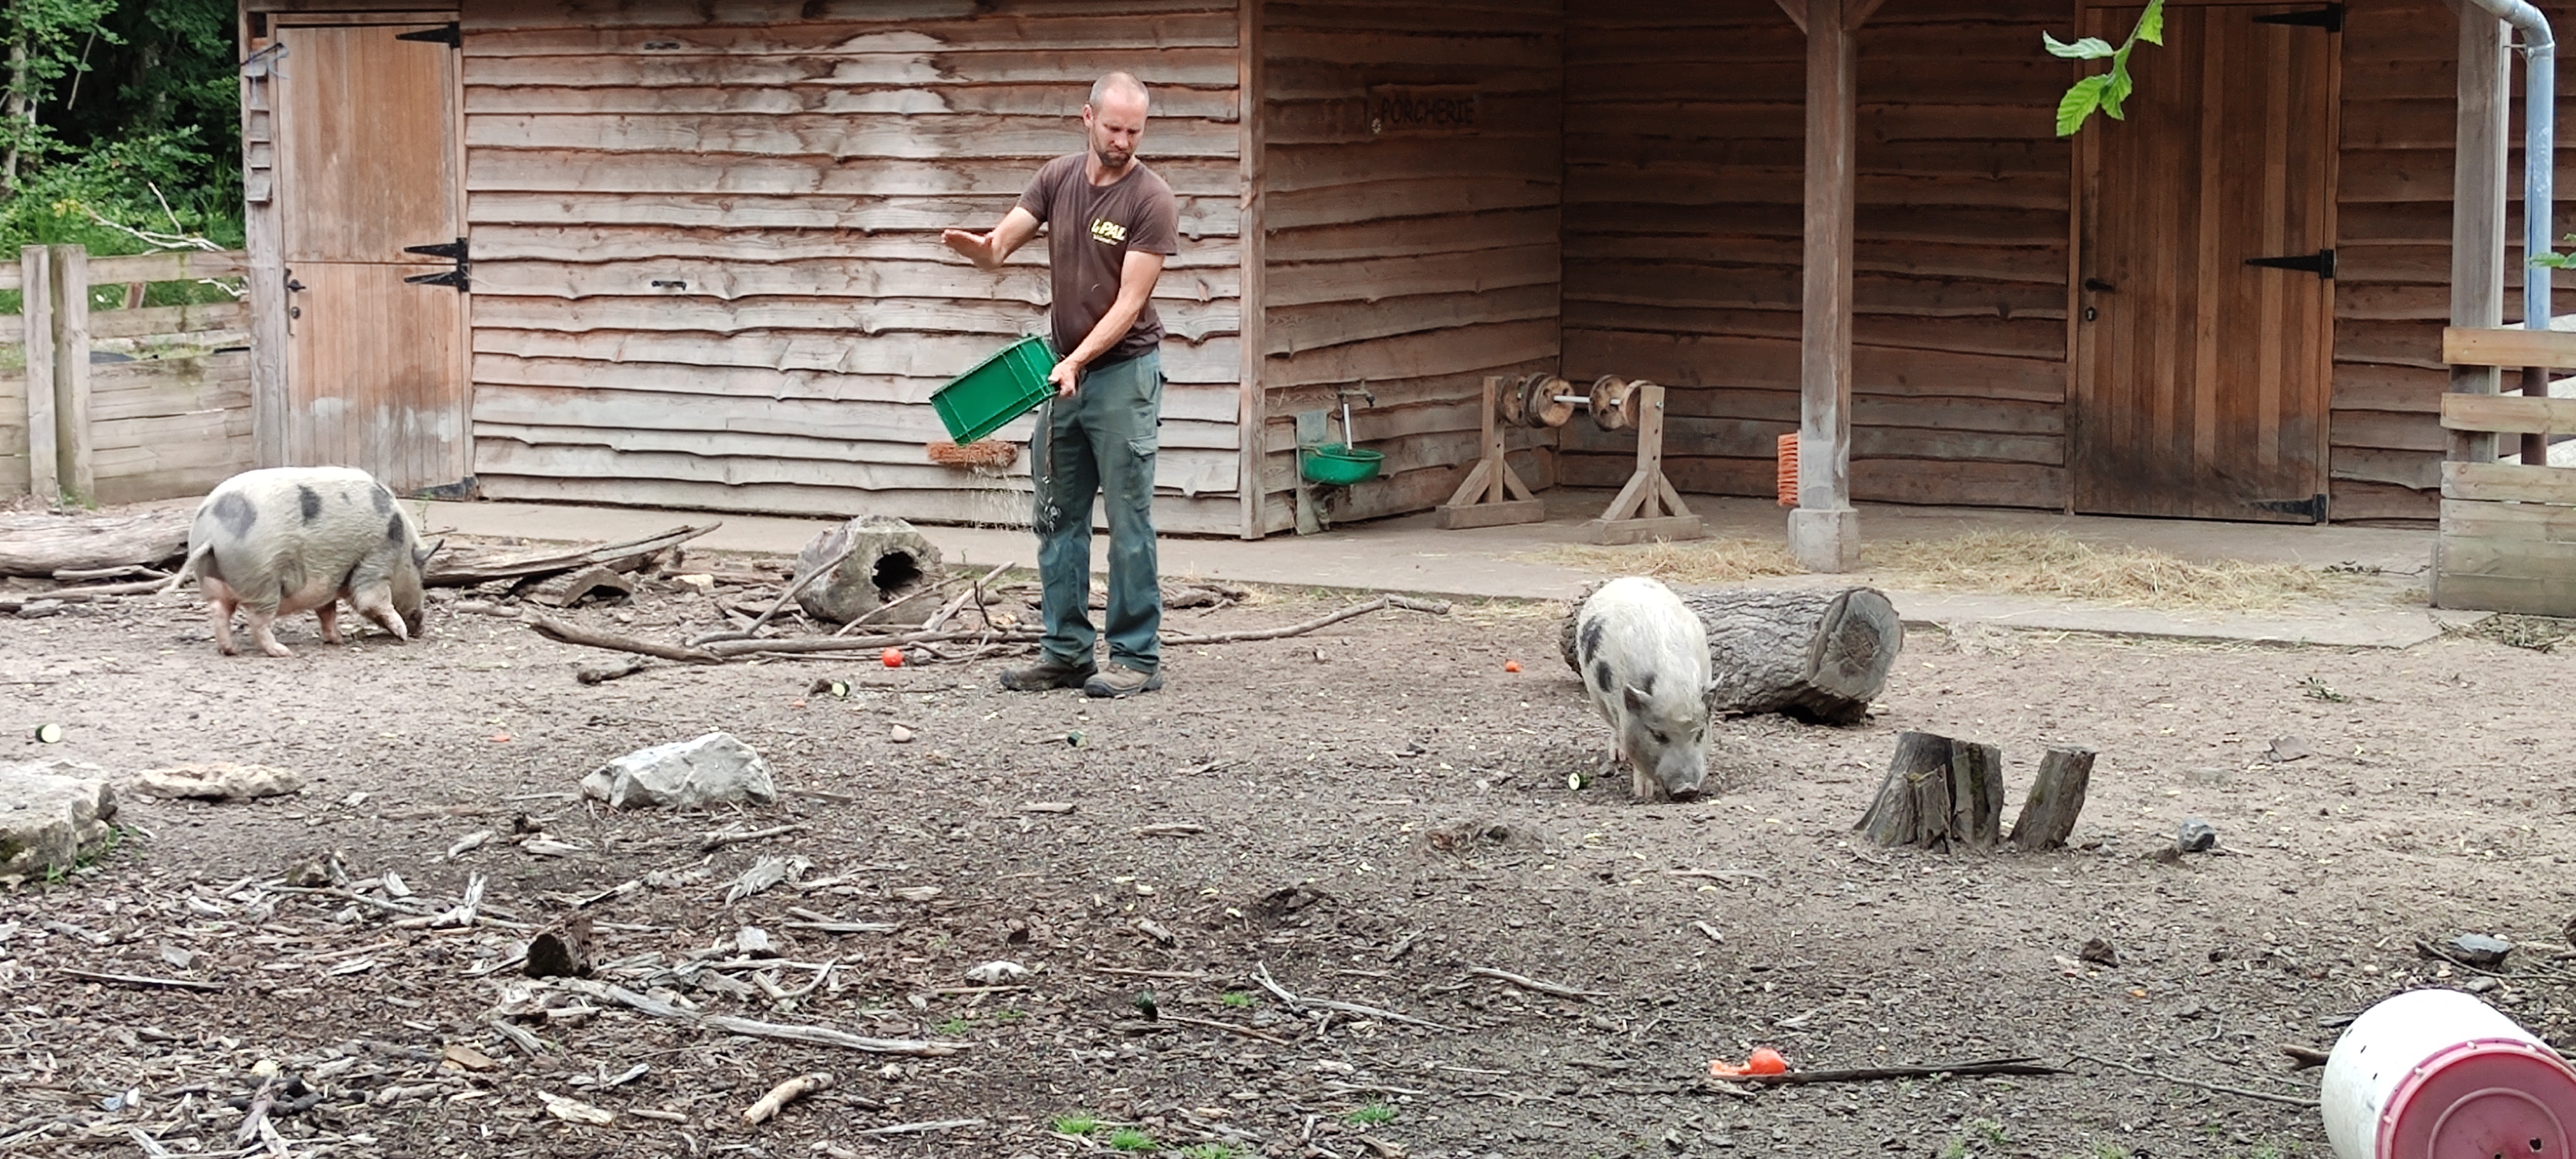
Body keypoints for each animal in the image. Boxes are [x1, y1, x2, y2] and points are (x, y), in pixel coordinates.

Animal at [175, 467, 442, 658]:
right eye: (421, 577)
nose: (421, 629)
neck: (401, 546)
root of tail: (211, 535)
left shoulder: (328, 587)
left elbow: (328, 613)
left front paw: (339, 640)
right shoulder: (376, 559)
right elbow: (373, 600)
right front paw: (403, 634)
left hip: (214, 583)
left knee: (219, 613)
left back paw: (231, 651)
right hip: (263, 581)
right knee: (257, 621)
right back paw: (282, 652)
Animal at [1568, 576, 1714, 801]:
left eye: (1699, 734)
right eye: (1658, 735)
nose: (1687, 790)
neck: (1672, 682)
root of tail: (1626, 579)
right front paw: (1643, 795)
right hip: (1595, 694)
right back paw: (1617, 756)